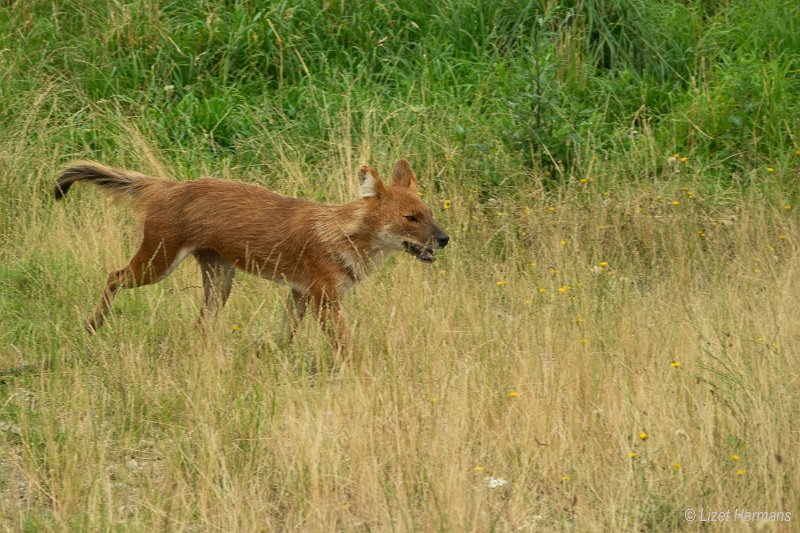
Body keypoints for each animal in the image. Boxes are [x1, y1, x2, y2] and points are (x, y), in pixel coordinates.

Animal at [53, 160, 446, 356]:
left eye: (429, 214)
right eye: (410, 218)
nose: (445, 239)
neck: (342, 232)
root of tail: (170, 184)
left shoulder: (299, 293)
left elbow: (284, 334)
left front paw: (268, 354)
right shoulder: (324, 299)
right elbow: (346, 345)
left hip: (220, 282)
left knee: (200, 324)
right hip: (157, 264)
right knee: (113, 276)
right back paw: (93, 325)